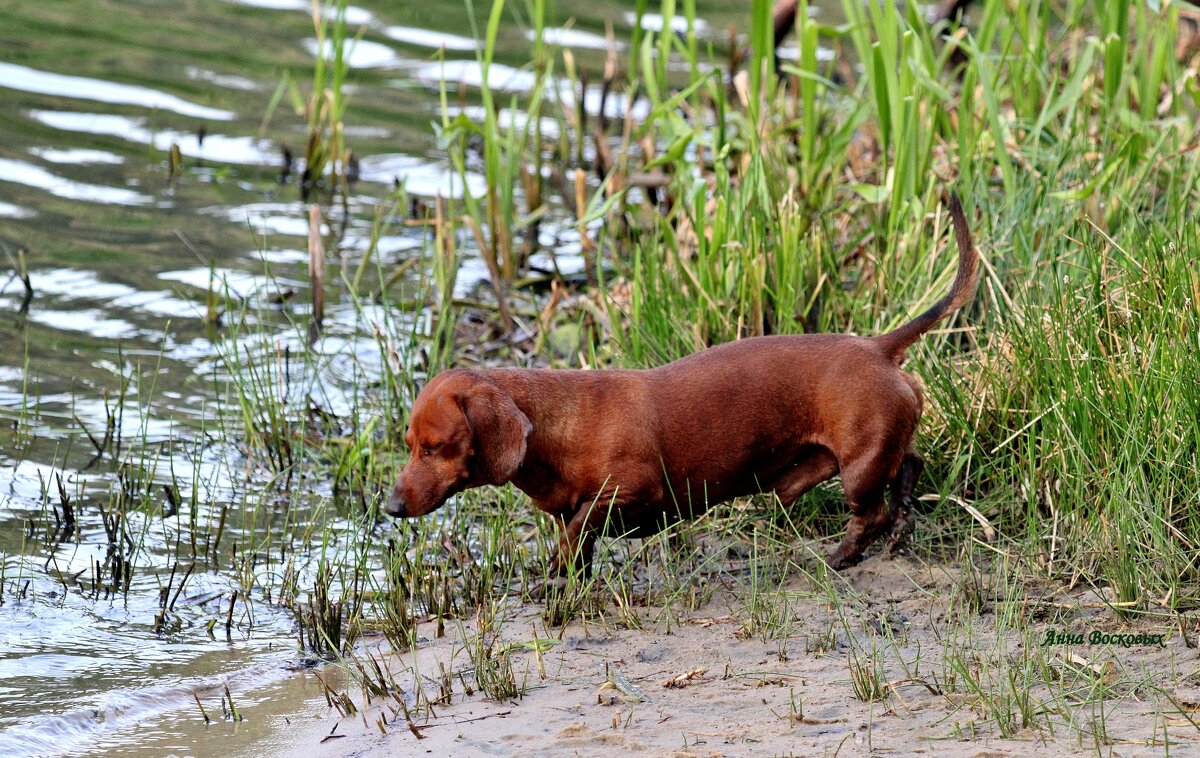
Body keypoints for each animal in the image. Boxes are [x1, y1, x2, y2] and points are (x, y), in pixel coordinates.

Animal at [388, 195, 979, 573]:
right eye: (409, 444)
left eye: (436, 447)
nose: (390, 508)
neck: (556, 429)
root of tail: (877, 346)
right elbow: (574, 539)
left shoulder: (630, 489)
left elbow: (582, 524)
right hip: (877, 451)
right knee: (909, 467)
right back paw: (900, 525)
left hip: (858, 466)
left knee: (870, 512)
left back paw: (843, 556)